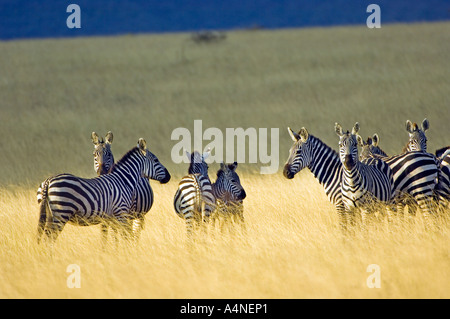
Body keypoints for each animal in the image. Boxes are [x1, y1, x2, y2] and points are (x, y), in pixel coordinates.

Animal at [36, 139, 171, 244]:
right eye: (156, 160)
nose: (169, 177)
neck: (124, 180)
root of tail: (48, 180)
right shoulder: (122, 213)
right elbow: (125, 237)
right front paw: (126, 255)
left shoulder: (112, 217)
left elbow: (115, 237)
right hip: (62, 213)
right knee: (50, 239)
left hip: (51, 215)